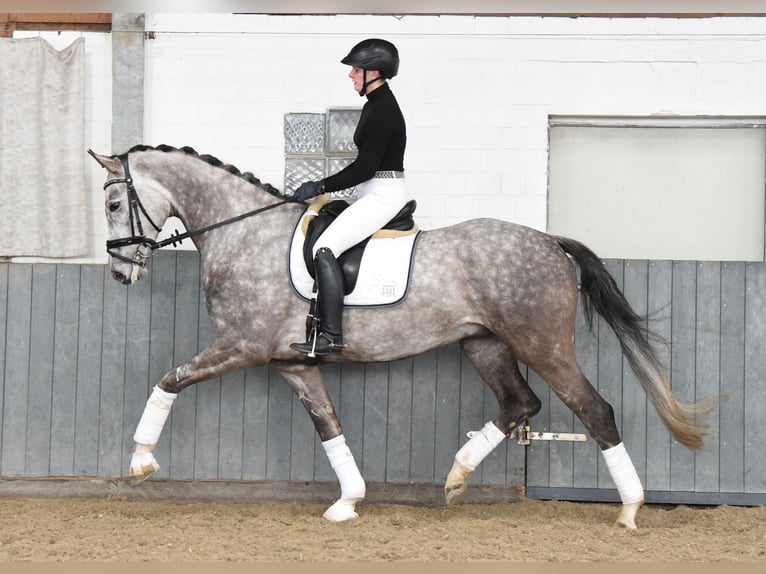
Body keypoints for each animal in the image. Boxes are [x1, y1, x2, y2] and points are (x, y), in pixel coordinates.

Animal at [90, 145, 720, 532]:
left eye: (115, 203)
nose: (121, 273)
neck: (246, 233)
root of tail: (550, 241)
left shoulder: (241, 346)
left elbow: (169, 379)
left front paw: (140, 461)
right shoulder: (293, 362)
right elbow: (329, 426)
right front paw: (348, 501)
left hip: (543, 345)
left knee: (595, 410)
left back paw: (630, 511)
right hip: (484, 344)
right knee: (520, 403)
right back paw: (456, 478)